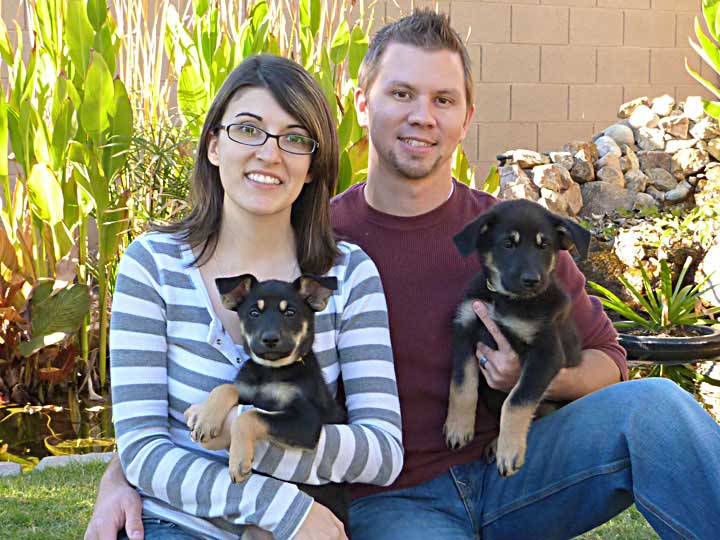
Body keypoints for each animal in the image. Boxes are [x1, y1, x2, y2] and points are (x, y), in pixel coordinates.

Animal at [187, 274, 348, 524]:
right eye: (254, 312)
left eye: (290, 312)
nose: (270, 339)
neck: (271, 371)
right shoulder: (247, 388)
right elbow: (227, 387)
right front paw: (205, 419)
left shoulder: (307, 422)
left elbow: (250, 416)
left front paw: (238, 460)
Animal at [444, 199, 592, 476]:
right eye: (507, 244)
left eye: (544, 245)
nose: (532, 280)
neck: (505, 299)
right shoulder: (464, 332)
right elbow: (461, 384)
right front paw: (458, 427)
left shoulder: (546, 354)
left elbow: (516, 400)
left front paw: (509, 451)